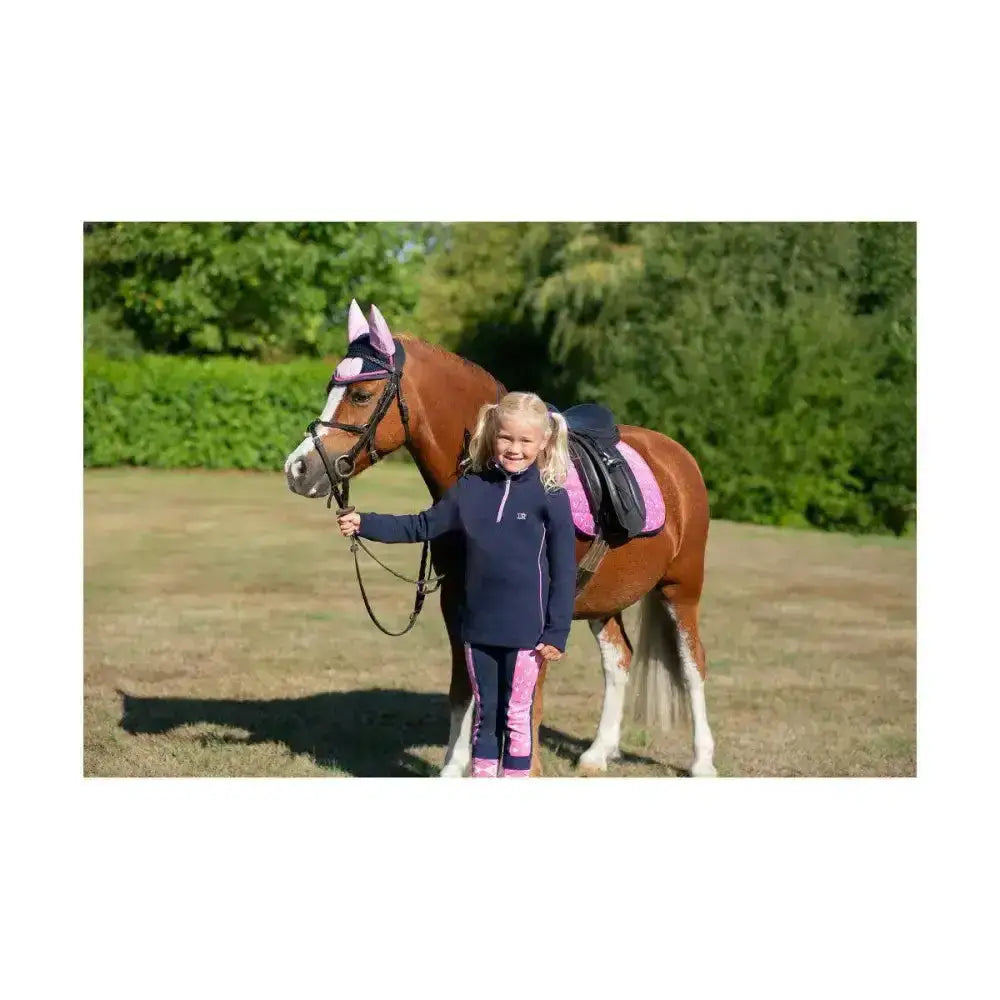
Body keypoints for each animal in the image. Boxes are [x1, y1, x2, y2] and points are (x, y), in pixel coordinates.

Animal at [284, 302, 717, 777]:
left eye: (361, 395)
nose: (297, 469)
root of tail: (677, 456)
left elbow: (527, 701)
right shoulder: (457, 602)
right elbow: (466, 688)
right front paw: (454, 768)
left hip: (682, 588)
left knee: (693, 665)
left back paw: (702, 762)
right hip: (606, 600)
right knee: (618, 659)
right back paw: (598, 753)